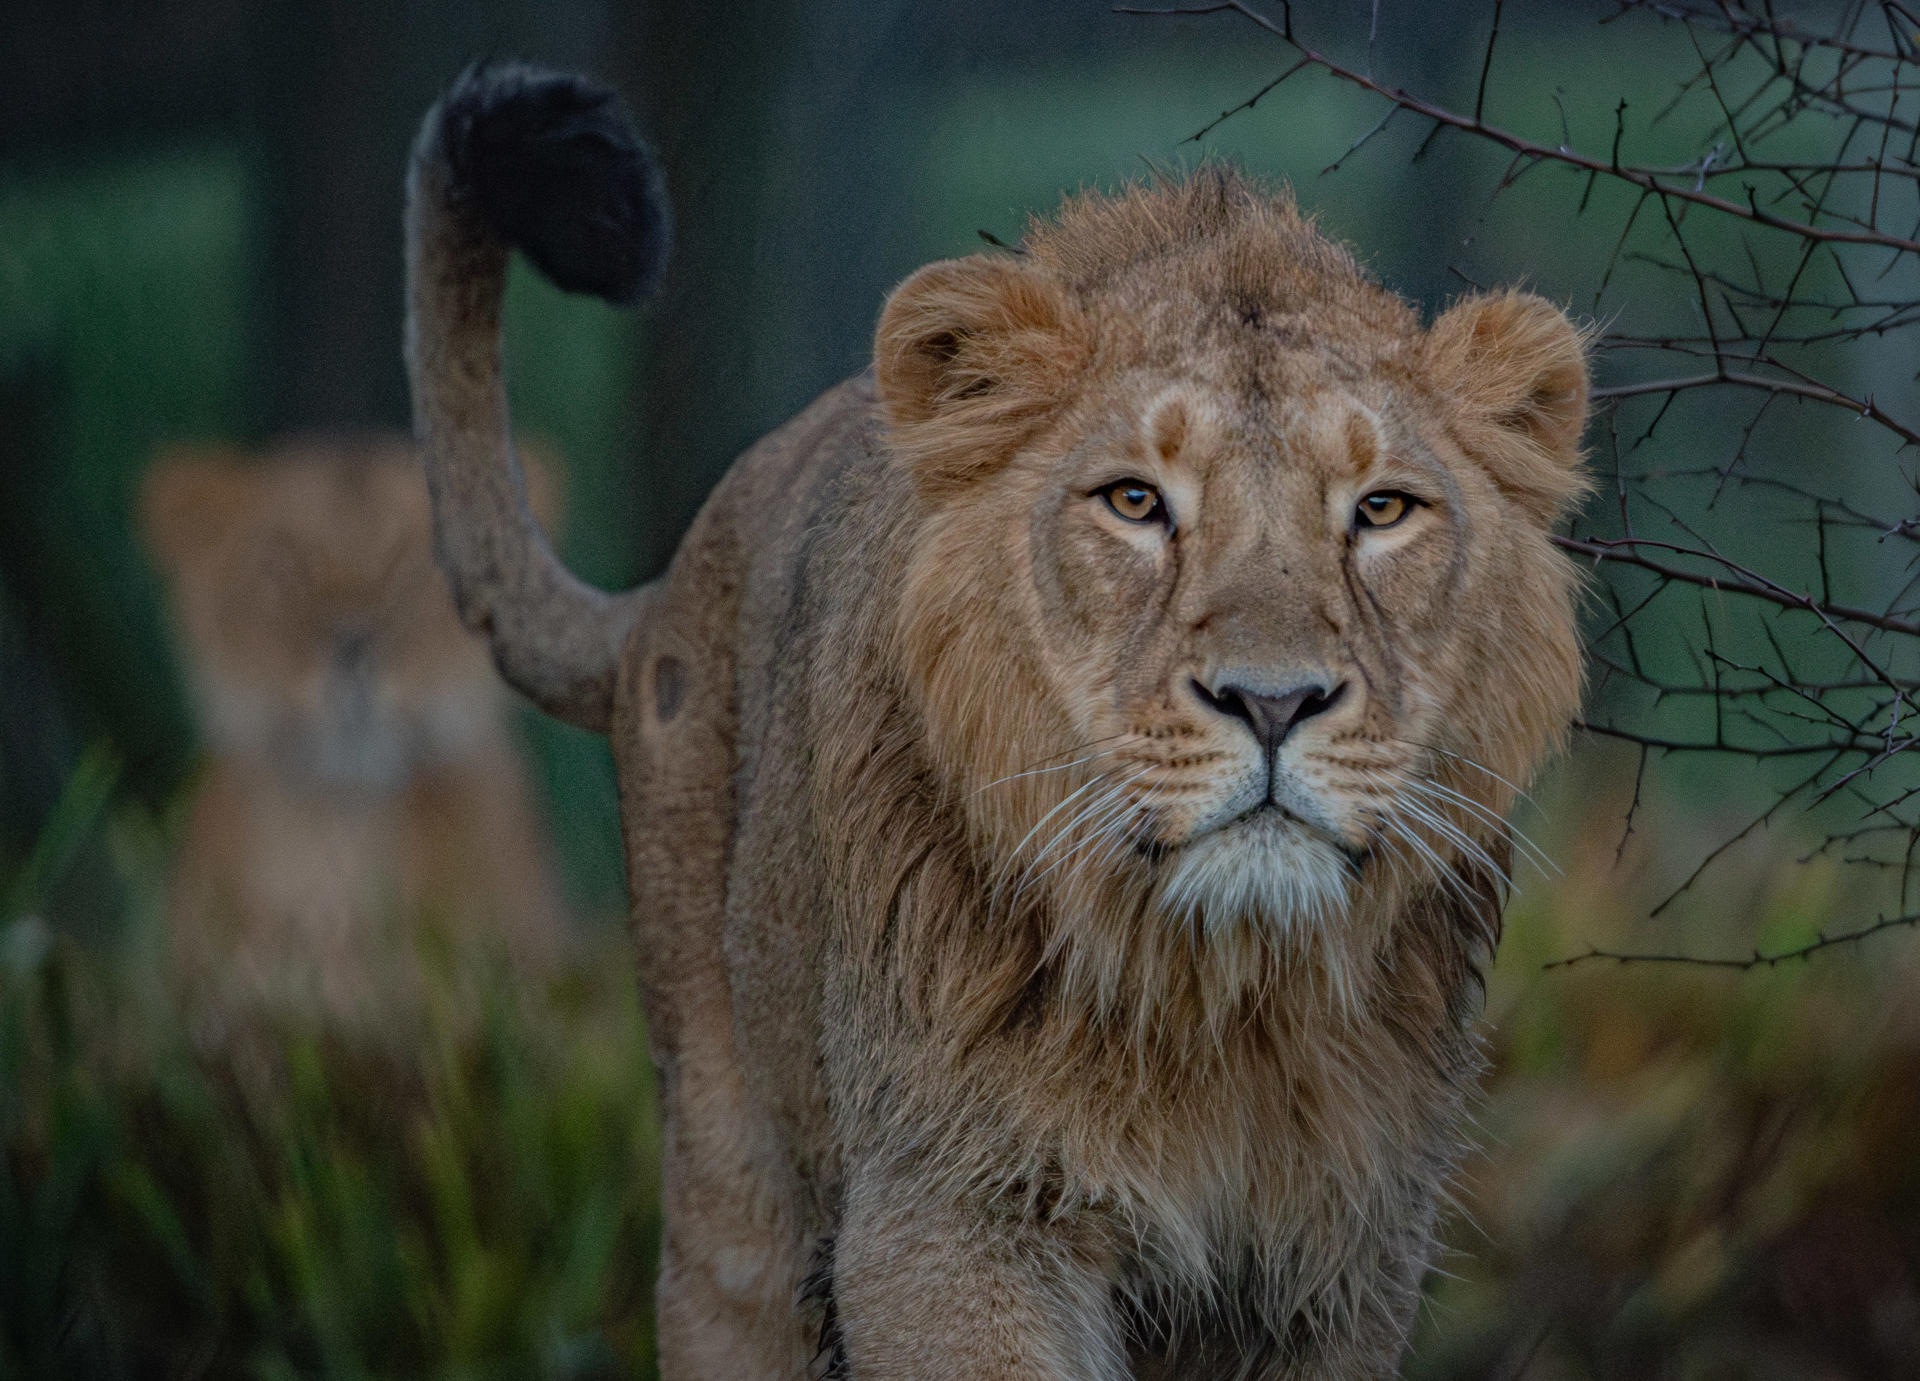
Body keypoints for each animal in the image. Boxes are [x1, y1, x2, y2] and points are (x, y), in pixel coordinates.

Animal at [404, 65, 1588, 1379]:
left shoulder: (1344, 1264)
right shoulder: (951, 1215)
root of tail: (661, 589)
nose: (1273, 700)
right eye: (1135, 501)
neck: (1221, 997)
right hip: (732, 1190)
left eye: (1382, 510)